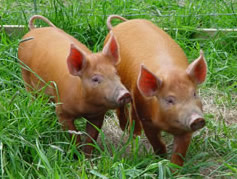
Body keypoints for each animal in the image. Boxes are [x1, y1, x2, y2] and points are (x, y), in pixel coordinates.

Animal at [18, 15, 131, 155]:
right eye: (95, 79)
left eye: (116, 73)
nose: (125, 94)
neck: (85, 107)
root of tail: (33, 30)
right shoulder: (62, 112)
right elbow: (73, 136)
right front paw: (76, 155)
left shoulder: (98, 115)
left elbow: (91, 138)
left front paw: (87, 158)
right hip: (24, 73)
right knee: (32, 96)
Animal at [105, 14, 207, 166]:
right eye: (169, 100)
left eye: (194, 94)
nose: (197, 119)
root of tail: (119, 26)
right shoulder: (147, 120)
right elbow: (157, 142)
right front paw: (160, 160)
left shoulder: (185, 127)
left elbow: (180, 151)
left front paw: (174, 168)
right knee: (121, 106)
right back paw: (129, 132)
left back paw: (135, 133)